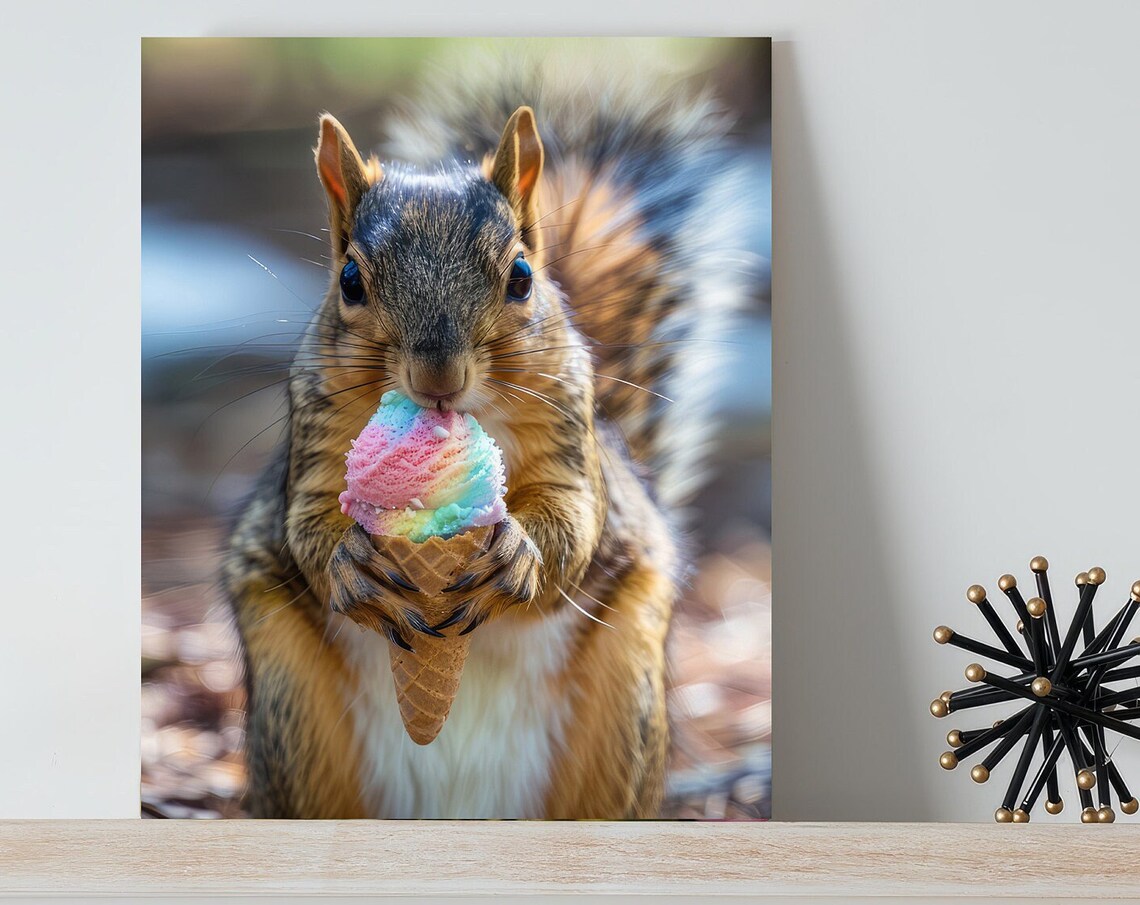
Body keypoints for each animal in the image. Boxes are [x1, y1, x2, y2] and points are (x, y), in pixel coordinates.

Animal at [222, 57, 755, 819]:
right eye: (349, 279)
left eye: (522, 277)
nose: (438, 376)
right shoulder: (316, 436)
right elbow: (308, 521)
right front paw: (351, 563)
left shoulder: (570, 432)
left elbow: (574, 519)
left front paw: (519, 554)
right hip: (293, 713)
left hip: (624, 705)